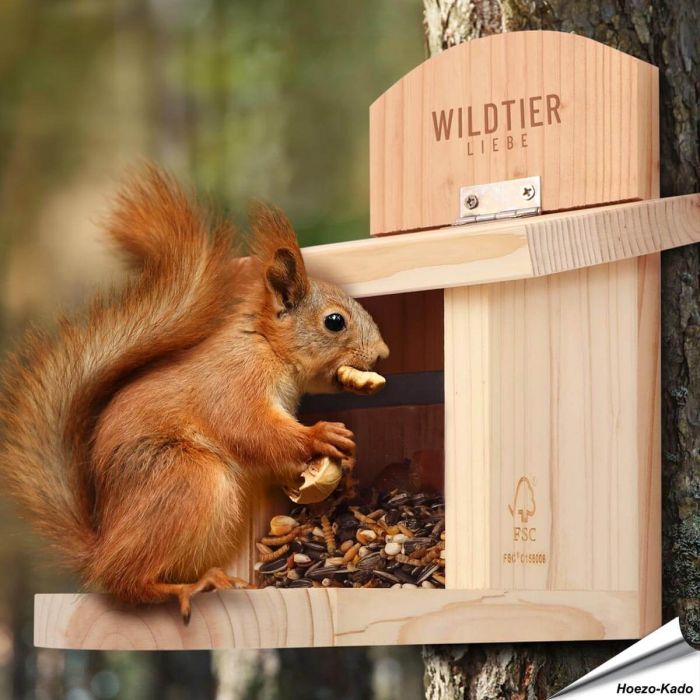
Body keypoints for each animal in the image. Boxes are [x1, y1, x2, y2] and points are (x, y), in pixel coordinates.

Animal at [0, 167, 389, 622]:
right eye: (334, 322)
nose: (382, 354)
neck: (266, 346)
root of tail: (98, 548)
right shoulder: (234, 384)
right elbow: (251, 429)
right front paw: (321, 435)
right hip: (187, 480)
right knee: (125, 581)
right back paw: (188, 586)